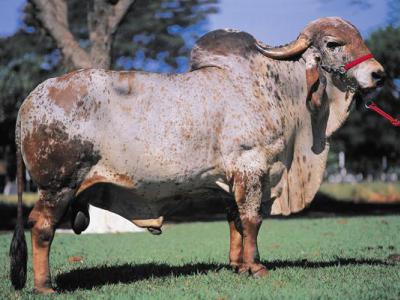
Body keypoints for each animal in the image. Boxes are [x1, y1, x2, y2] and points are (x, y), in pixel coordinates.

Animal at [9, 17, 384, 292]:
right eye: (334, 44)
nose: (378, 74)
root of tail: (29, 101)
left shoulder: (233, 181)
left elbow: (236, 221)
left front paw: (238, 265)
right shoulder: (251, 169)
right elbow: (252, 220)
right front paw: (256, 267)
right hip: (58, 186)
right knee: (41, 227)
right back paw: (44, 286)